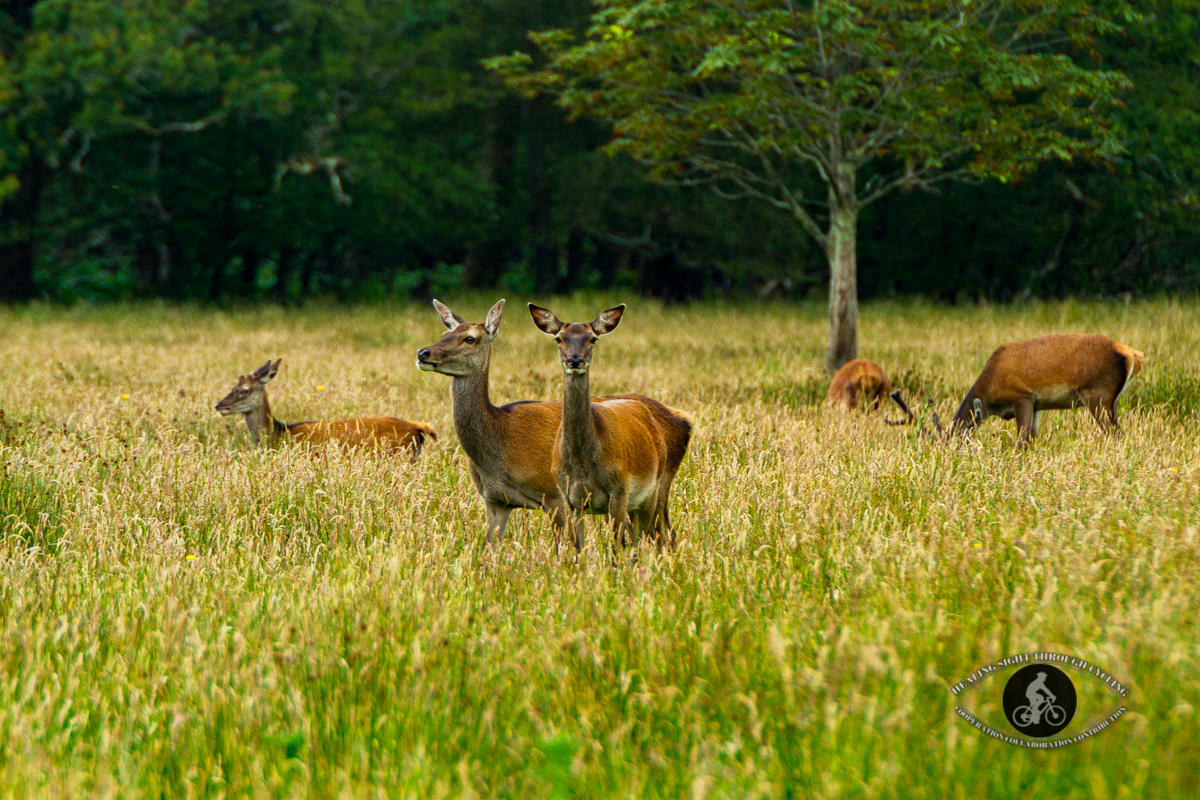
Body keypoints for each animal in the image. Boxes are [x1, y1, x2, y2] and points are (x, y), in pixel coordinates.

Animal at [216, 359, 436, 460]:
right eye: (233, 386)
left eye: (244, 390)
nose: (219, 405)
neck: (279, 435)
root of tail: (419, 428)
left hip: (397, 453)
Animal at [528, 303, 696, 546]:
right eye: (559, 338)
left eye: (593, 338)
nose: (575, 360)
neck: (583, 462)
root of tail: (686, 420)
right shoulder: (570, 498)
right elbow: (578, 545)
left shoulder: (619, 490)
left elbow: (616, 544)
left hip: (659, 484)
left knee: (662, 534)